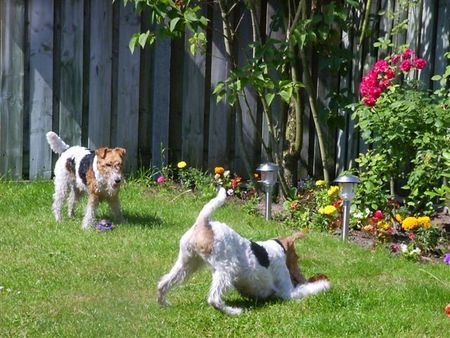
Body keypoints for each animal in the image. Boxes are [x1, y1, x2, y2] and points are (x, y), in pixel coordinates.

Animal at [158, 187, 330, 314]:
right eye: (297, 258)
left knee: (163, 283)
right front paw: (324, 285)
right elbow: (309, 289)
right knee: (214, 299)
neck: (278, 248)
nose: (302, 277)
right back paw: (235, 311)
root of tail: (204, 222)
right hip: (227, 268)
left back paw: (164, 304)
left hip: (187, 263)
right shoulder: (288, 292)